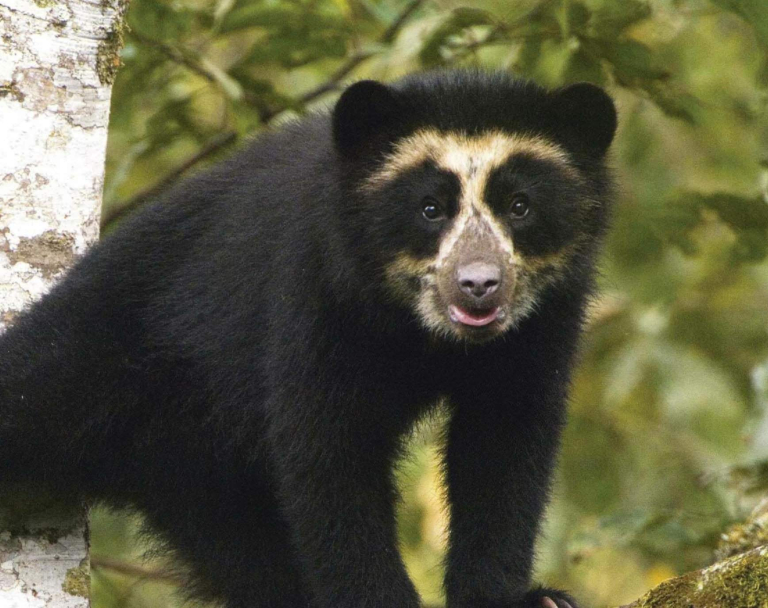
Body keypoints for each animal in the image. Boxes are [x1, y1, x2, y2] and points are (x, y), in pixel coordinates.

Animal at [0, 69, 617, 608]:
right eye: (430, 209)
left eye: (520, 206)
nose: (479, 286)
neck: (423, 331)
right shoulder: (317, 294)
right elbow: (330, 455)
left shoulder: (543, 323)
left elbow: (504, 446)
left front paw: (526, 597)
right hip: (108, 347)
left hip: (201, 475)